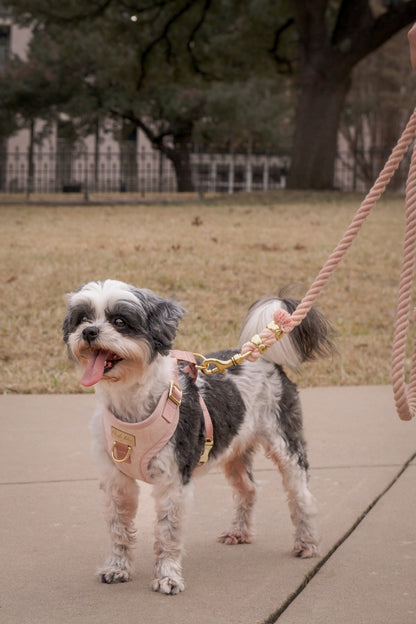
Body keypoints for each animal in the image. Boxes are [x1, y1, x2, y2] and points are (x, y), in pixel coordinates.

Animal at [62, 280, 334, 596]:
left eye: (120, 321)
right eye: (82, 318)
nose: (89, 332)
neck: (132, 403)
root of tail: (265, 358)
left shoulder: (173, 480)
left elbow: (168, 532)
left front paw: (167, 576)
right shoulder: (117, 480)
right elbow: (119, 528)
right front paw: (117, 568)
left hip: (285, 443)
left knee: (301, 495)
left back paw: (307, 543)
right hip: (234, 452)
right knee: (248, 489)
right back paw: (240, 531)